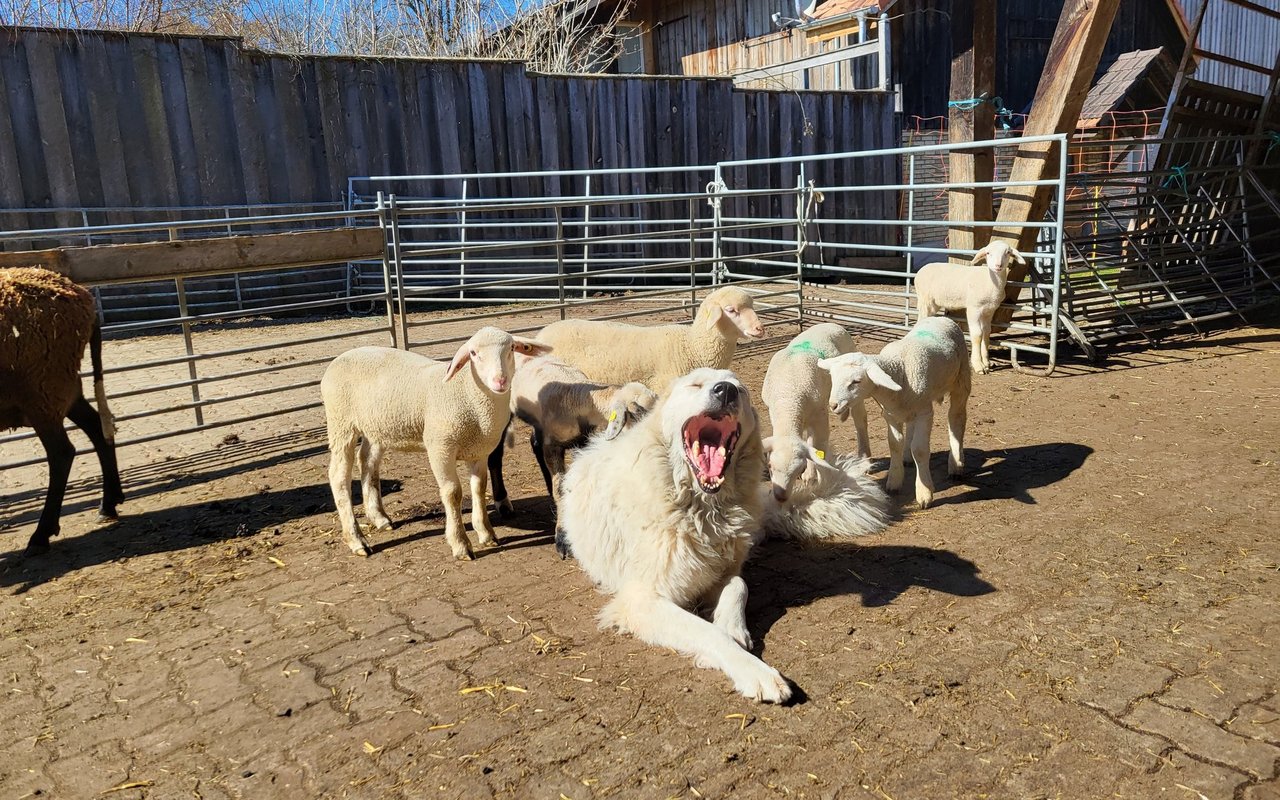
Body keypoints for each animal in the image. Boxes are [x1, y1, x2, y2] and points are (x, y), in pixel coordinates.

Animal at [0, 267, 123, 554]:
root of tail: (83, 297)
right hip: (62, 387)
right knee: (98, 427)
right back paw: (108, 504)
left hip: (43, 389)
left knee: (61, 452)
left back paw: (41, 534)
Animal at [320, 327, 551, 560]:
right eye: (473, 353)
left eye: (511, 348)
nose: (500, 381)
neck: (468, 394)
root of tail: (342, 357)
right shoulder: (440, 447)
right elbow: (453, 493)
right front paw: (460, 544)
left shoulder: (479, 451)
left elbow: (479, 488)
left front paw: (486, 533)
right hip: (341, 423)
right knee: (339, 477)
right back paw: (357, 540)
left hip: (376, 427)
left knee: (367, 461)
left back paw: (379, 518)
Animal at [487, 352, 659, 517]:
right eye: (636, 414)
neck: (576, 397)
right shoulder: (552, 446)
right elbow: (560, 487)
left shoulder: (581, 440)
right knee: (496, 455)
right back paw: (503, 503)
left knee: (534, 443)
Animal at [817, 316, 971, 509]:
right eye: (832, 377)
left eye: (856, 381)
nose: (833, 405)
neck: (898, 368)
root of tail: (940, 317)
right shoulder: (890, 414)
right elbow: (894, 444)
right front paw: (894, 481)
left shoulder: (925, 413)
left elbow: (920, 449)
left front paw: (924, 493)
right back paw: (907, 458)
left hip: (961, 379)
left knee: (956, 419)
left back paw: (956, 464)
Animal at [913, 240, 1026, 374]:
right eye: (988, 253)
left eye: (1007, 252)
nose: (998, 265)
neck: (989, 281)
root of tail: (920, 271)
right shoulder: (974, 308)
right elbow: (977, 334)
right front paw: (978, 365)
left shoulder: (989, 311)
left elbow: (986, 333)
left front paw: (986, 363)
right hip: (926, 300)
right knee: (920, 320)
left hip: (934, 304)